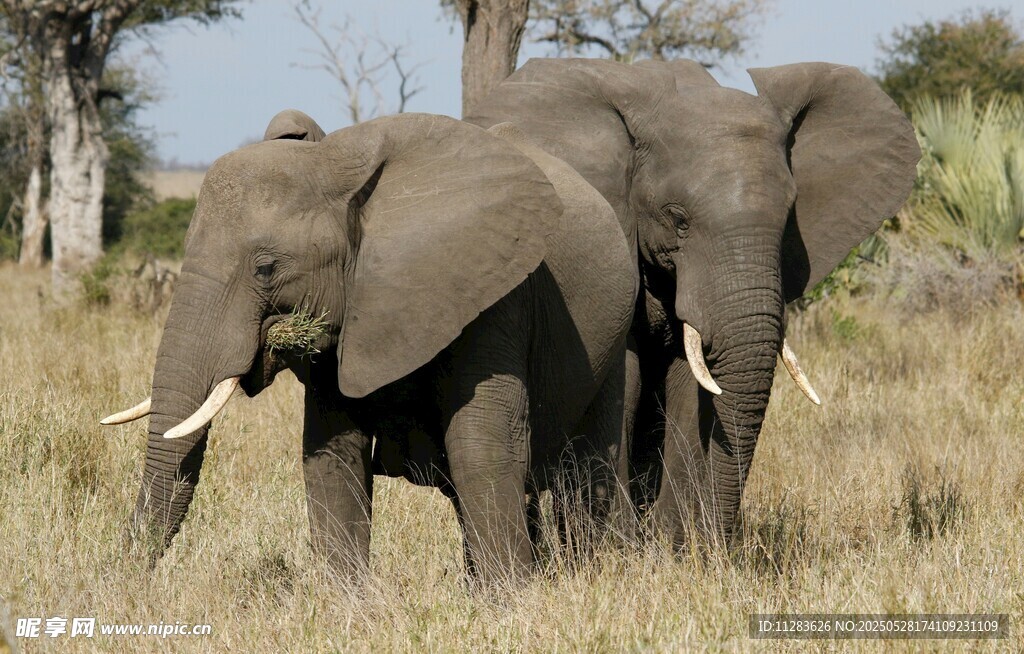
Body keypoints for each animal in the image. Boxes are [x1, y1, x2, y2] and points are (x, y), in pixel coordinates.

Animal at [101, 110, 638, 584]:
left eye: (266, 268)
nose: (127, 584)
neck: (340, 165)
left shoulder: (495, 293)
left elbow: (482, 445)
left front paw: (508, 603)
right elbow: (331, 454)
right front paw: (348, 607)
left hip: (615, 336)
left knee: (587, 465)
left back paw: (587, 574)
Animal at [466, 58, 920, 547]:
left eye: (788, 220)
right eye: (678, 220)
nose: (721, 538)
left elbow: (691, 384)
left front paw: (674, 546)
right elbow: (626, 375)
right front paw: (623, 548)